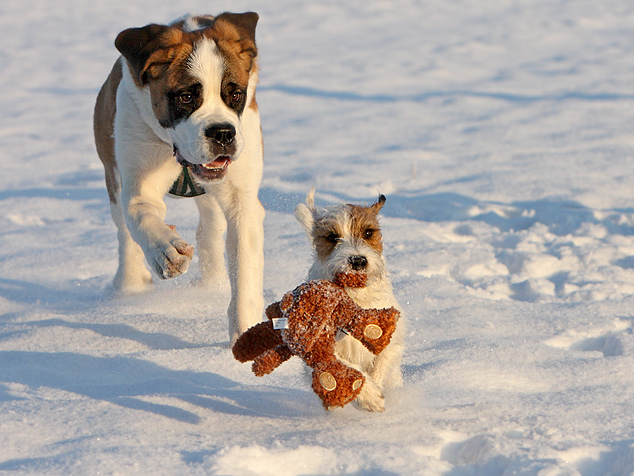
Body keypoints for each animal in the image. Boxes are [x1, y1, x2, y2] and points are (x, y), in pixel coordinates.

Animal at [92, 12, 262, 342]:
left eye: (235, 94)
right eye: (186, 97)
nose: (223, 133)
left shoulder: (242, 201)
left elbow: (244, 267)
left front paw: (245, 330)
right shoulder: (137, 179)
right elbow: (141, 214)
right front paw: (166, 252)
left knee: (210, 227)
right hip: (112, 175)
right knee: (124, 232)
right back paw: (128, 286)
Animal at [294, 190, 402, 412]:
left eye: (368, 233)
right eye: (332, 237)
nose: (358, 261)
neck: (355, 298)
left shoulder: (392, 341)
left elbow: (382, 362)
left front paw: (375, 390)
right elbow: (343, 368)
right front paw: (370, 396)